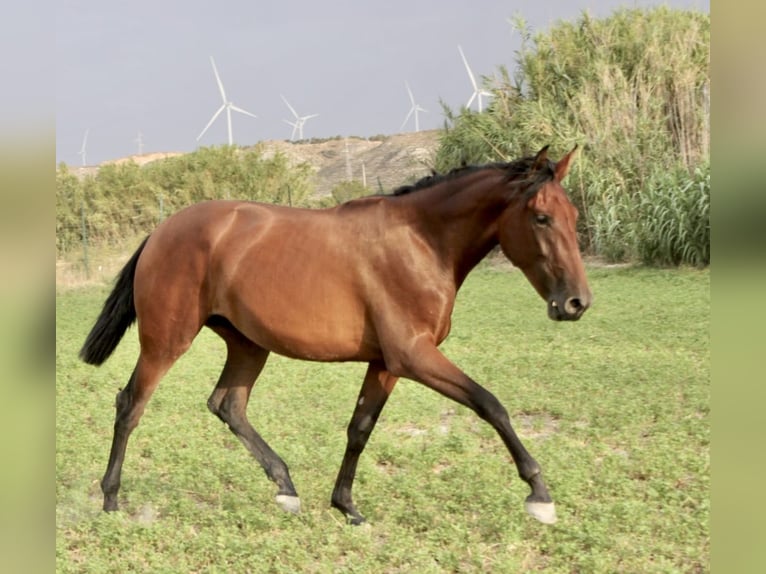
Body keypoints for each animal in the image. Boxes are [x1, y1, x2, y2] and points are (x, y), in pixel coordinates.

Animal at [81, 144, 592, 528]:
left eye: (572, 214)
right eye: (541, 218)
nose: (576, 303)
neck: (422, 242)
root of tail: (161, 231)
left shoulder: (386, 363)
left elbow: (359, 428)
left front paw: (347, 506)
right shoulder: (414, 356)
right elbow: (491, 405)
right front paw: (540, 494)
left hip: (248, 344)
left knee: (228, 405)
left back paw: (286, 488)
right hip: (167, 340)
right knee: (131, 405)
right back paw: (111, 500)